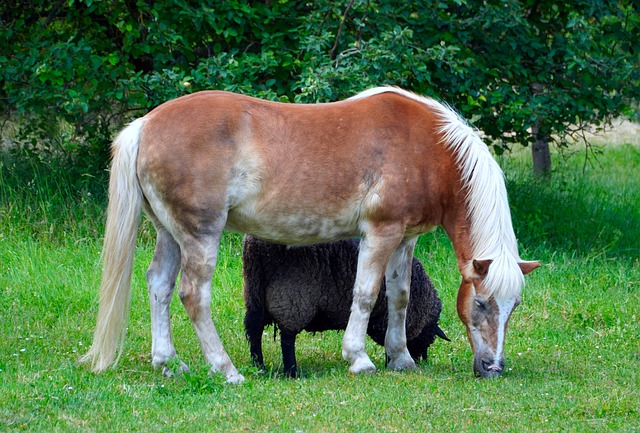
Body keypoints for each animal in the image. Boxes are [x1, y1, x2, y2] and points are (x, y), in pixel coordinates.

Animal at [242, 235, 448, 376]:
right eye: (428, 337)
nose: (421, 361)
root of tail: (257, 248)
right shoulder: (386, 318)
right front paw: (391, 363)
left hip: (255, 292)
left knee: (254, 329)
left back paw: (259, 365)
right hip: (293, 297)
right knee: (287, 337)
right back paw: (292, 371)